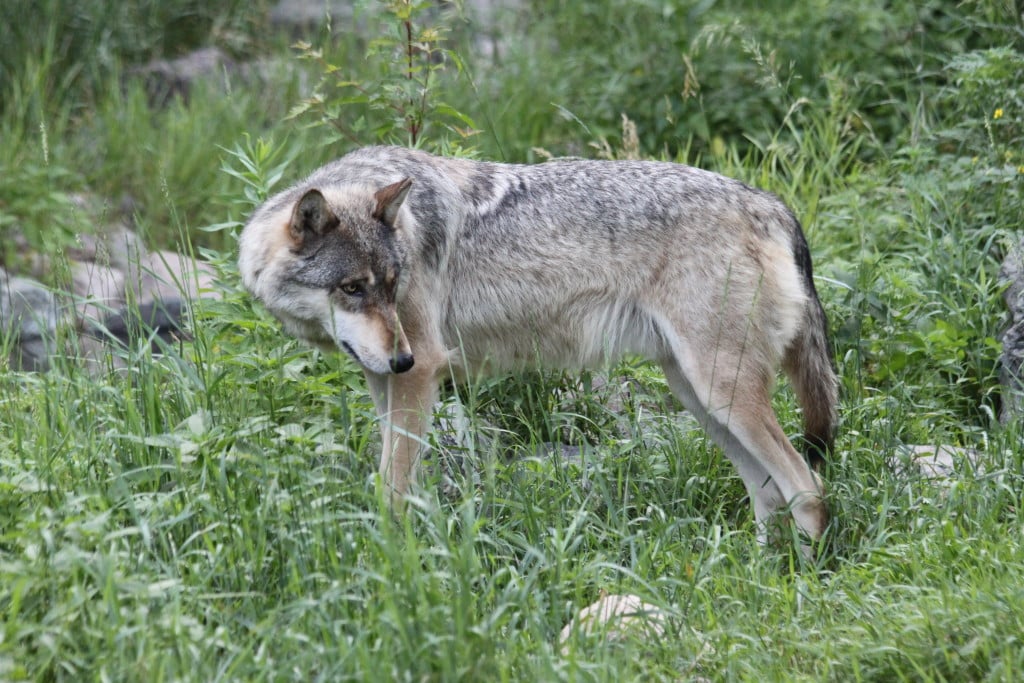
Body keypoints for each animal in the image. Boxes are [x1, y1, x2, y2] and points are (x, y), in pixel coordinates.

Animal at [239, 147, 839, 548]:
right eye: (353, 289)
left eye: (391, 283)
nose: (401, 357)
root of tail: (770, 202)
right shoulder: (385, 378)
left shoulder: (421, 371)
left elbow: (392, 488)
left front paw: (389, 559)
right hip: (701, 398)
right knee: (768, 495)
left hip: (721, 392)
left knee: (808, 486)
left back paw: (800, 582)